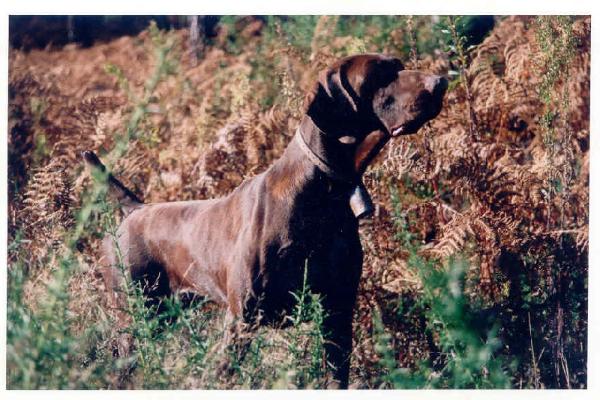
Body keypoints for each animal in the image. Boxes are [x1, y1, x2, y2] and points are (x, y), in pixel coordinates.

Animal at [82, 53, 446, 388]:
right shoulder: (242, 320)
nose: (441, 81)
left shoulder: (337, 315)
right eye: (379, 75)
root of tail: (134, 208)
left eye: (398, 65)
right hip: (134, 319)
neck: (322, 191)